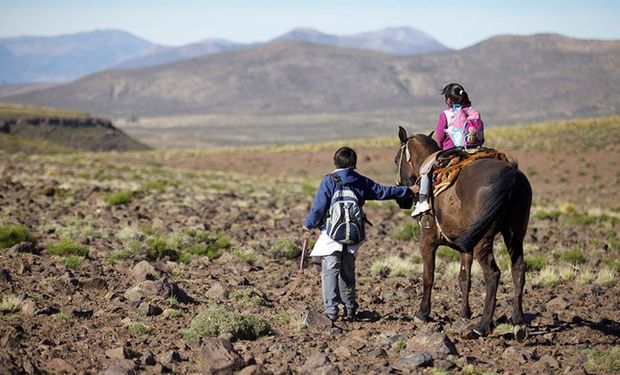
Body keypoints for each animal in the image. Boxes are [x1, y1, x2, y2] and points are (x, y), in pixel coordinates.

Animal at [398, 126, 532, 340]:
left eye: (397, 160)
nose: (402, 199)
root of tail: (511, 175)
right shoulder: (465, 248)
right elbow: (464, 279)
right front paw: (464, 313)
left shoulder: (427, 240)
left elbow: (428, 276)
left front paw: (422, 313)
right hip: (515, 233)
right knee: (518, 268)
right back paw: (518, 323)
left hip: (484, 240)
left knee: (492, 273)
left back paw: (483, 326)